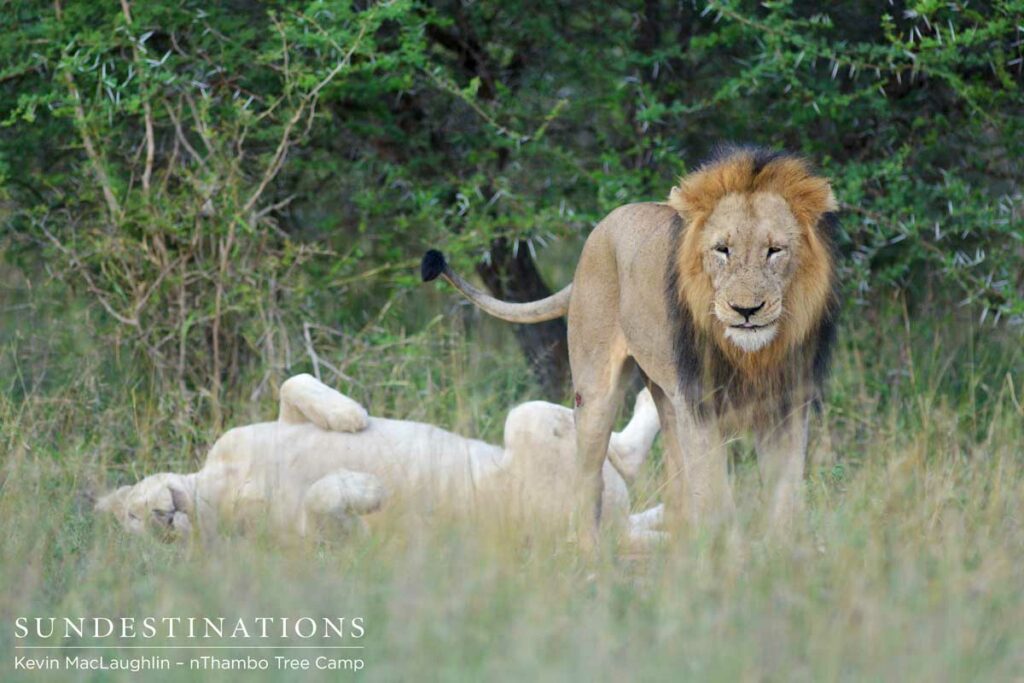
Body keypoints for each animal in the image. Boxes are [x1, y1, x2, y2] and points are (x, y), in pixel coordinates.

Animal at [421, 146, 840, 537]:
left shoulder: (788, 406)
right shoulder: (699, 405)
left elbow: (785, 499)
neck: (750, 355)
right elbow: (717, 499)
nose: (746, 310)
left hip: (666, 396)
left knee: (675, 484)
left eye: (775, 250)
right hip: (593, 396)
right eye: (722, 249)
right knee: (591, 484)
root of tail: (602, 228)